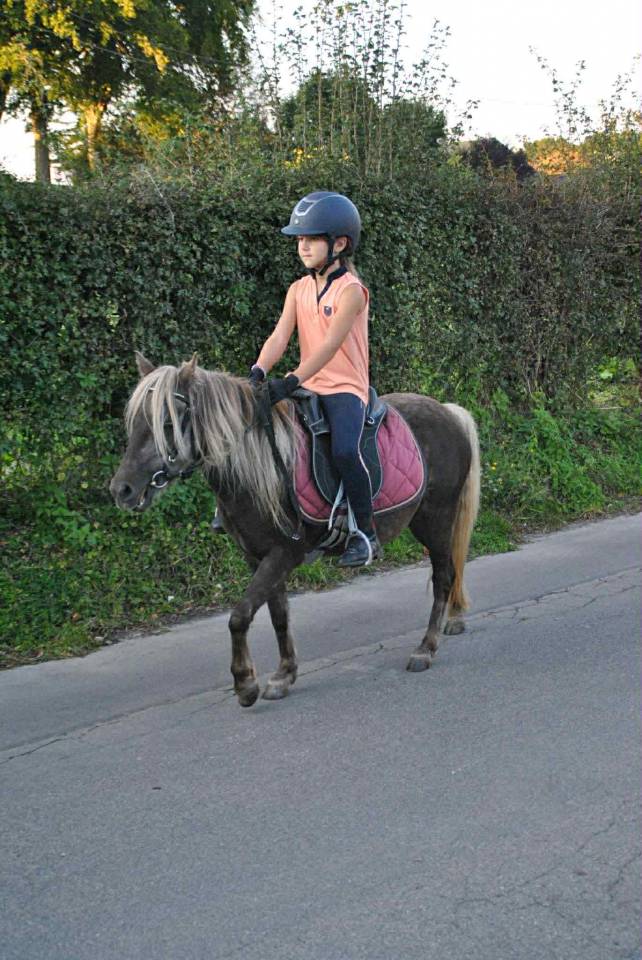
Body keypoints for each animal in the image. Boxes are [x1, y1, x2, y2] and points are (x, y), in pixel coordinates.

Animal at [110, 353, 481, 708]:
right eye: (135, 422)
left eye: (166, 423)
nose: (122, 490)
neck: (258, 468)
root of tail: (448, 412)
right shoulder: (258, 556)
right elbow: (278, 615)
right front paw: (283, 675)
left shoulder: (285, 553)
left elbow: (239, 616)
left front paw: (245, 684)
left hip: (435, 518)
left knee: (443, 576)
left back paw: (425, 648)